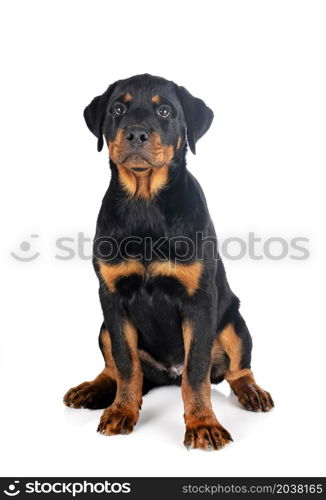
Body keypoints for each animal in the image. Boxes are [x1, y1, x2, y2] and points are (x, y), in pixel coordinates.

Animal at [63, 75, 272, 454]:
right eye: (118, 109)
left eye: (165, 111)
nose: (136, 133)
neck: (145, 201)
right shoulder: (111, 297)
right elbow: (126, 364)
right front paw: (121, 411)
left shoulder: (199, 300)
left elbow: (196, 371)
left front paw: (203, 424)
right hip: (103, 326)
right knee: (114, 368)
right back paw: (94, 388)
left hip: (233, 320)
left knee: (236, 368)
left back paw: (251, 391)